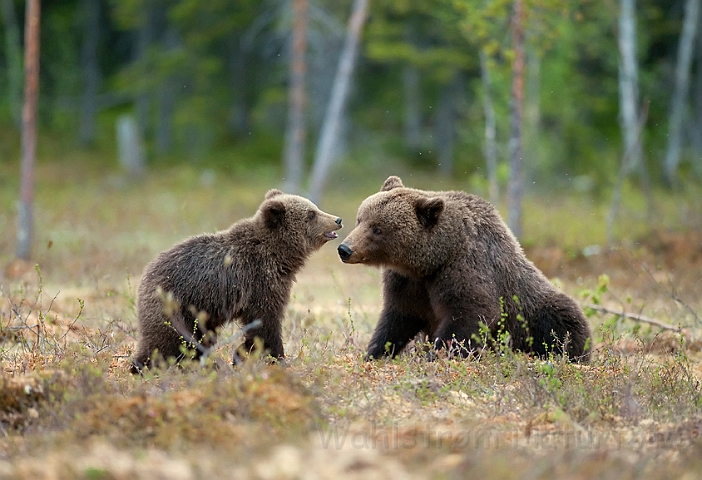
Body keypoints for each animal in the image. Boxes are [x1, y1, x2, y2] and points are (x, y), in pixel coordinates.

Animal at [338, 175, 592, 360]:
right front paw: (374, 353)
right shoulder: (407, 283)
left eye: (377, 228)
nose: (345, 249)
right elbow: (397, 318)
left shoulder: (465, 269)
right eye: (360, 219)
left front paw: (437, 355)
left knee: (563, 322)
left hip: (537, 311)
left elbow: (469, 315)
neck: (430, 262)